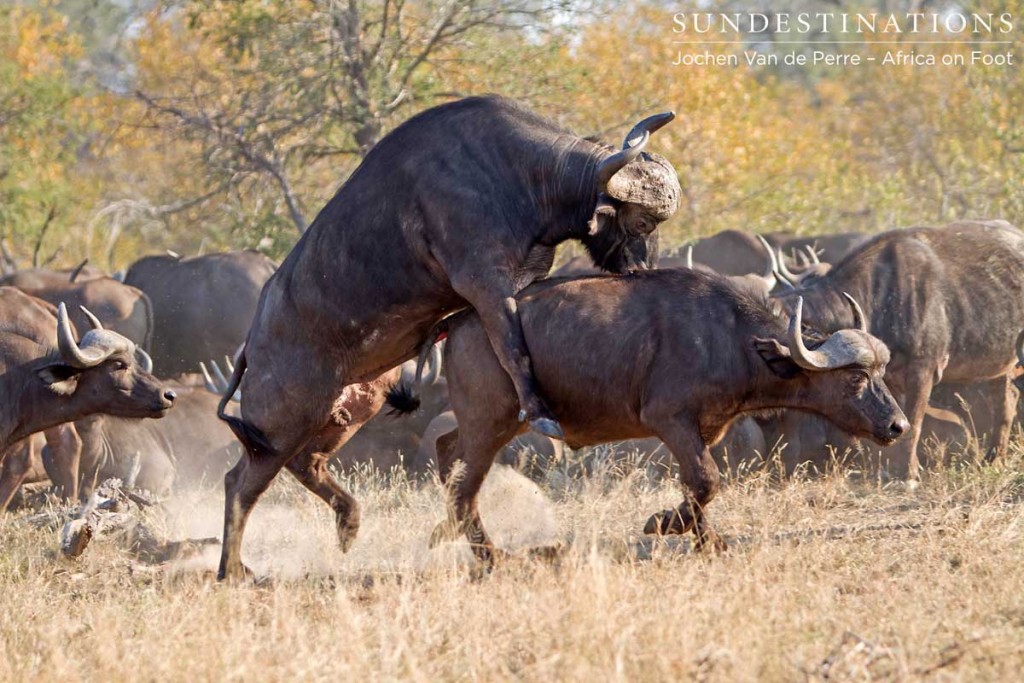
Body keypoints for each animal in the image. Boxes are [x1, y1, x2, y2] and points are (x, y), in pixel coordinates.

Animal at [211, 96, 684, 581]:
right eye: (643, 222)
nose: (642, 269)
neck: (518, 175)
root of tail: (252, 347)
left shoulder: (522, 281)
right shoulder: (487, 285)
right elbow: (514, 350)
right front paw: (540, 412)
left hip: (355, 403)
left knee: (305, 463)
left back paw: (347, 522)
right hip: (282, 422)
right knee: (242, 482)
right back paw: (232, 569)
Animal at [389, 270, 905, 565]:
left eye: (881, 371)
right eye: (856, 377)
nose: (898, 426)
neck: (728, 337)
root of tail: (457, 321)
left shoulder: (702, 430)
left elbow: (698, 484)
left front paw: (706, 541)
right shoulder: (670, 420)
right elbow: (706, 481)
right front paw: (663, 524)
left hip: (490, 424)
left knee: (447, 454)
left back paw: (447, 535)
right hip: (490, 423)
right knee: (464, 485)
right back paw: (488, 556)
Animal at [770, 222, 1024, 479]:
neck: (881, 298)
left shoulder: (922, 372)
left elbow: (912, 424)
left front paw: (908, 474)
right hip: (1000, 368)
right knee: (1008, 400)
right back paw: (993, 458)